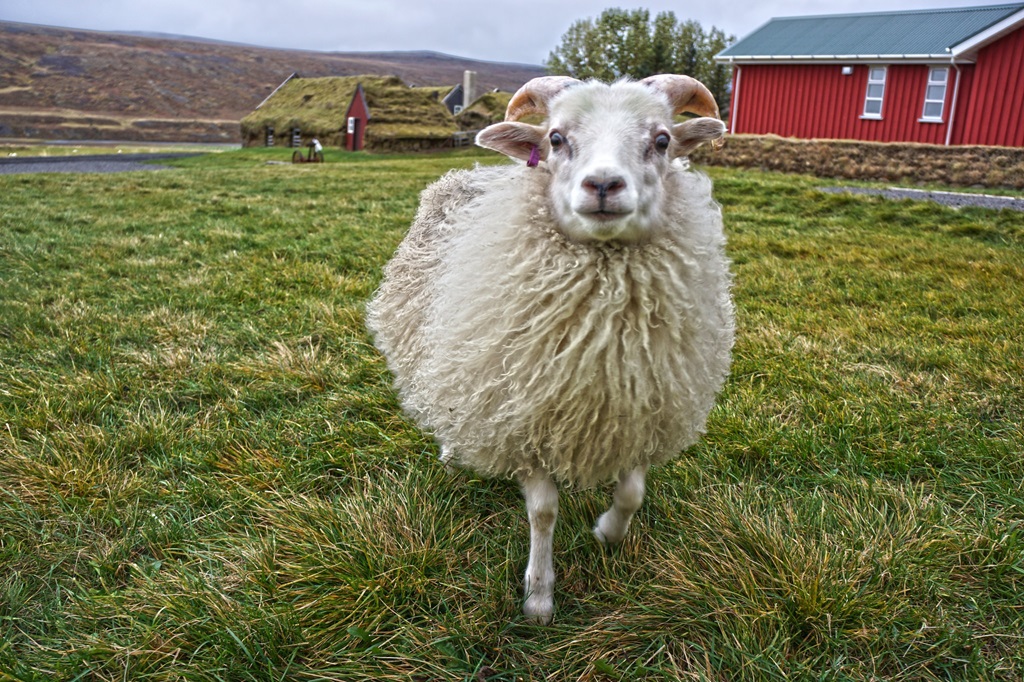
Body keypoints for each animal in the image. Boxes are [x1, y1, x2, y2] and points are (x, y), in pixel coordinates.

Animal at [365, 74, 734, 624]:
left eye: (663, 140)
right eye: (556, 138)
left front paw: (608, 533)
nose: (603, 185)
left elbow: (633, 492)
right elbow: (543, 512)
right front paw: (538, 596)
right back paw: (452, 452)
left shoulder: (646, 410)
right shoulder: (524, 416)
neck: (602, 343)